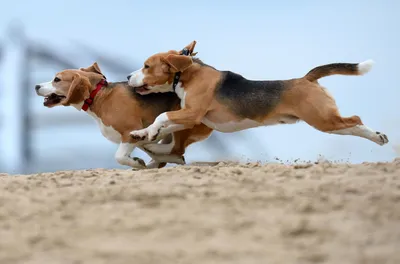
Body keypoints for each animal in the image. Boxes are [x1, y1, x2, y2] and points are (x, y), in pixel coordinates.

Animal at [35, 62, 212, 169]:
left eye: (57, 79)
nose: (36, 86)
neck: (99, 95)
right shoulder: (132, 135)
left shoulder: (129, 132)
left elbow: (119, 156)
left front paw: (137, 163)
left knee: (176, 146)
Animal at [127, 40, 388, 146]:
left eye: (146, 66)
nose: (128, 77)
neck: (186, 73)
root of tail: (306, 78)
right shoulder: (192, 118)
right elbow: (163, 125)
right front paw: (143, 133)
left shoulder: (192, 114)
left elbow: (162, 117)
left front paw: (150, 131)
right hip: (327, 120)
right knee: (352, 125)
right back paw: (377, 137)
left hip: (322, 119)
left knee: (355, 120)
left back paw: (378, 136)